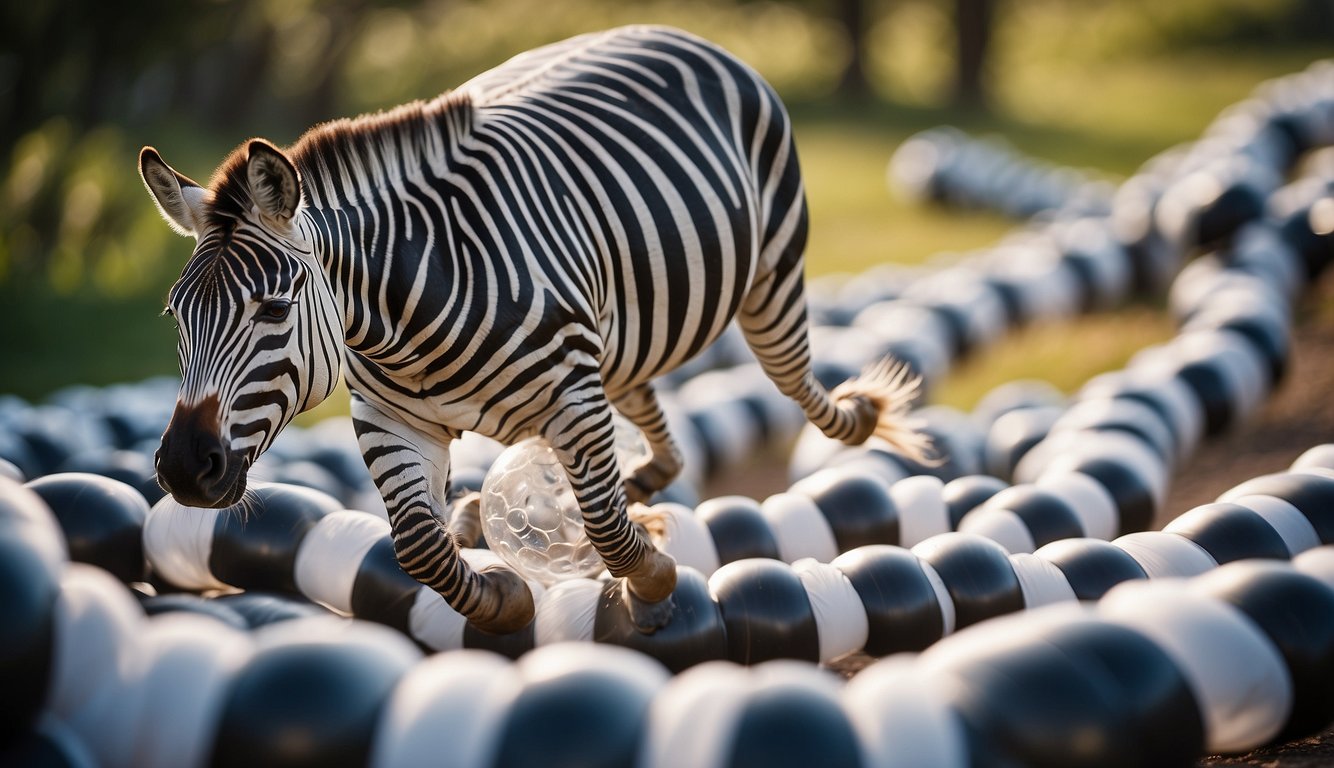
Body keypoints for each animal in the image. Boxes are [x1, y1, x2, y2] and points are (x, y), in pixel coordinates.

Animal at [140, 25, 923, 634]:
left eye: (272, 310)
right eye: (176, 315)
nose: (182, 468)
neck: (406, 319)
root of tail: (676, 32)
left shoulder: (572, 395)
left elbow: (601, 522)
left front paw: (651, 585)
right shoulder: (391, 419)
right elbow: (417, 545)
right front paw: (504, 599)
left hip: (770, 276)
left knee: (794, 383)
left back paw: (860, 411)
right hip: (619, 337)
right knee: (655, 435)